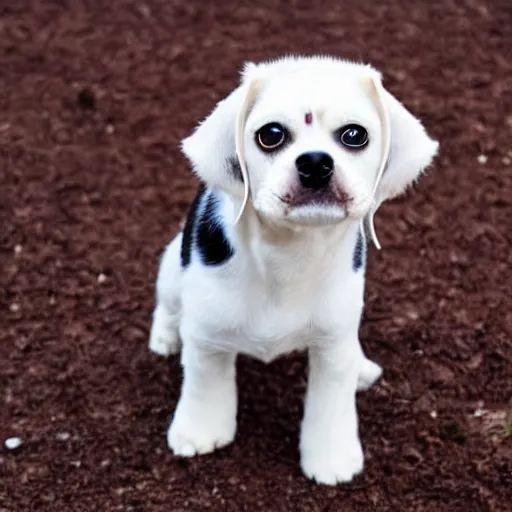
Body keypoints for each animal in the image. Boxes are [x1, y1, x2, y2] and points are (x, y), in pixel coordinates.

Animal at [147, 55, 436, 484]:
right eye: (271, 134)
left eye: (355, 135)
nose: (315, 162)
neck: (289, 253)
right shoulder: (206, 334)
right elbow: (204, 382)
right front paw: (200, 429)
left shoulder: (333, 343)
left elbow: (331, 400)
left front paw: (331, 456)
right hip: (171, 265)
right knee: (167, 306)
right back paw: (165, 336)